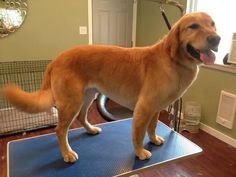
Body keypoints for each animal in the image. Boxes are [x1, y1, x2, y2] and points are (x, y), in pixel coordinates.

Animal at [0, 11, 220, 162]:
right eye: (193, 26)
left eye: (213, 25)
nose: (216, 39)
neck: (174, 62)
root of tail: (56, 58)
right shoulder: (144, 108)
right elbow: (138, 134)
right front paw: (140, 152)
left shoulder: (156, 109)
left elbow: (152, 127)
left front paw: (154, 139)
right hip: (71, 102)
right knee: (60, 130)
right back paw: (67, 153)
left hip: (87, 97)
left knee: (81, 117)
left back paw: (90, 130)